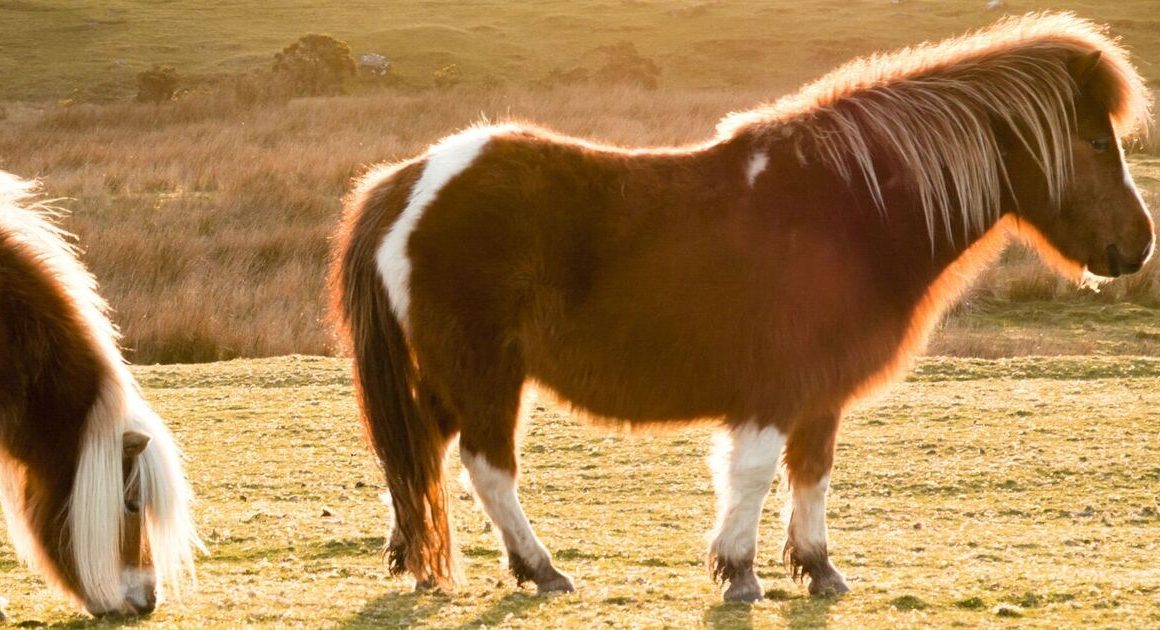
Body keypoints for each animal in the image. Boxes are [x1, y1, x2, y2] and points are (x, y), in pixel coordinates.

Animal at [331, 11, 1155, 603]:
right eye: (1093, 141)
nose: (1138, 246)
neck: (843, 210)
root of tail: (408, 180)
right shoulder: (774, 388)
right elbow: (754, 473)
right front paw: (740, 574)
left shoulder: (821, 394)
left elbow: (811, 472)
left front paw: (818, 570)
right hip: (485, 376)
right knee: (487, 467)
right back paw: (542, 571)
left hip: (446, 377)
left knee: (420, 454)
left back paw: (418, 561)